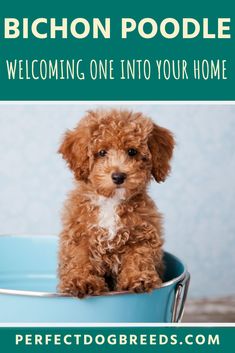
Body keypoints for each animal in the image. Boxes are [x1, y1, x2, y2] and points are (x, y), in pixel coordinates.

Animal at [57, 108, 174, 296]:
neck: (111, 201)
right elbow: (80, 258)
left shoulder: (142, 234)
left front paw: (138, 278)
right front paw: (82, 281)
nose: (118, 176)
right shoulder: (79, 234)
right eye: (102, 152)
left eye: (132, 151)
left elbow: (139, 257)